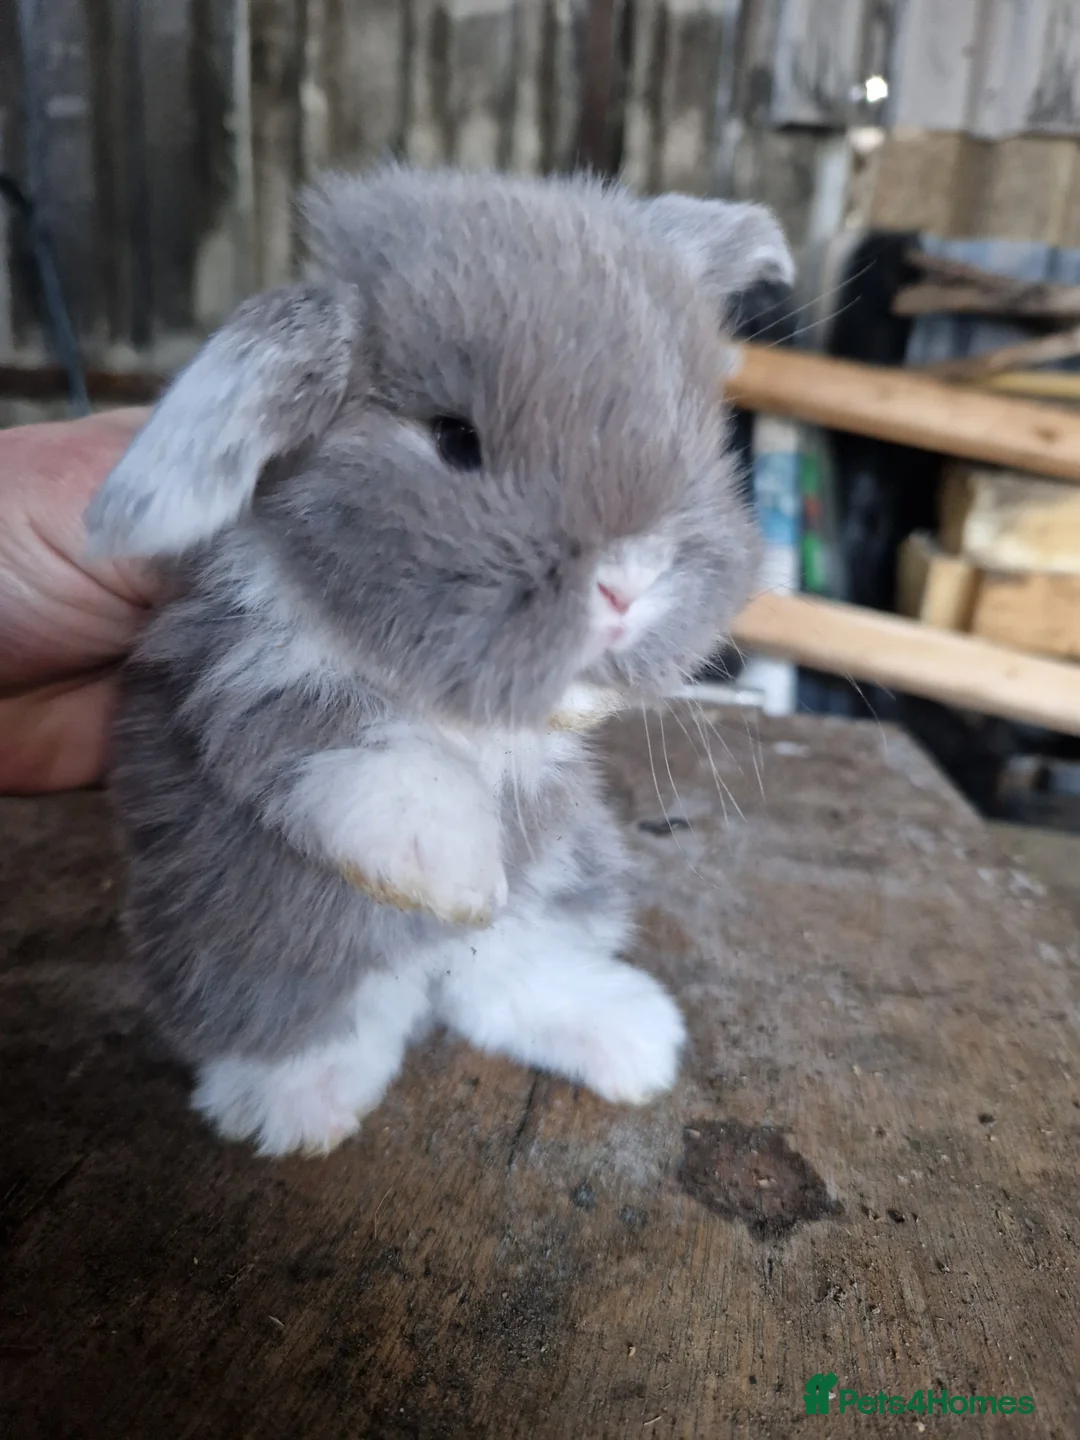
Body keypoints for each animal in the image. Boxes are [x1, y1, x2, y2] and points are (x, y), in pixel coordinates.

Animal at [84, 165, 793, 1158]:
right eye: (455, 439)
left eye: (694, 434)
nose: (629, 584)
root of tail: (422, 973)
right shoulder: (244, 668)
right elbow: (378, 756)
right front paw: (456, 875)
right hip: (238, 939)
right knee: (320, 1018)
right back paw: (293, 1104)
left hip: (568, 882)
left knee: (502, 980)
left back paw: (625, 1036)